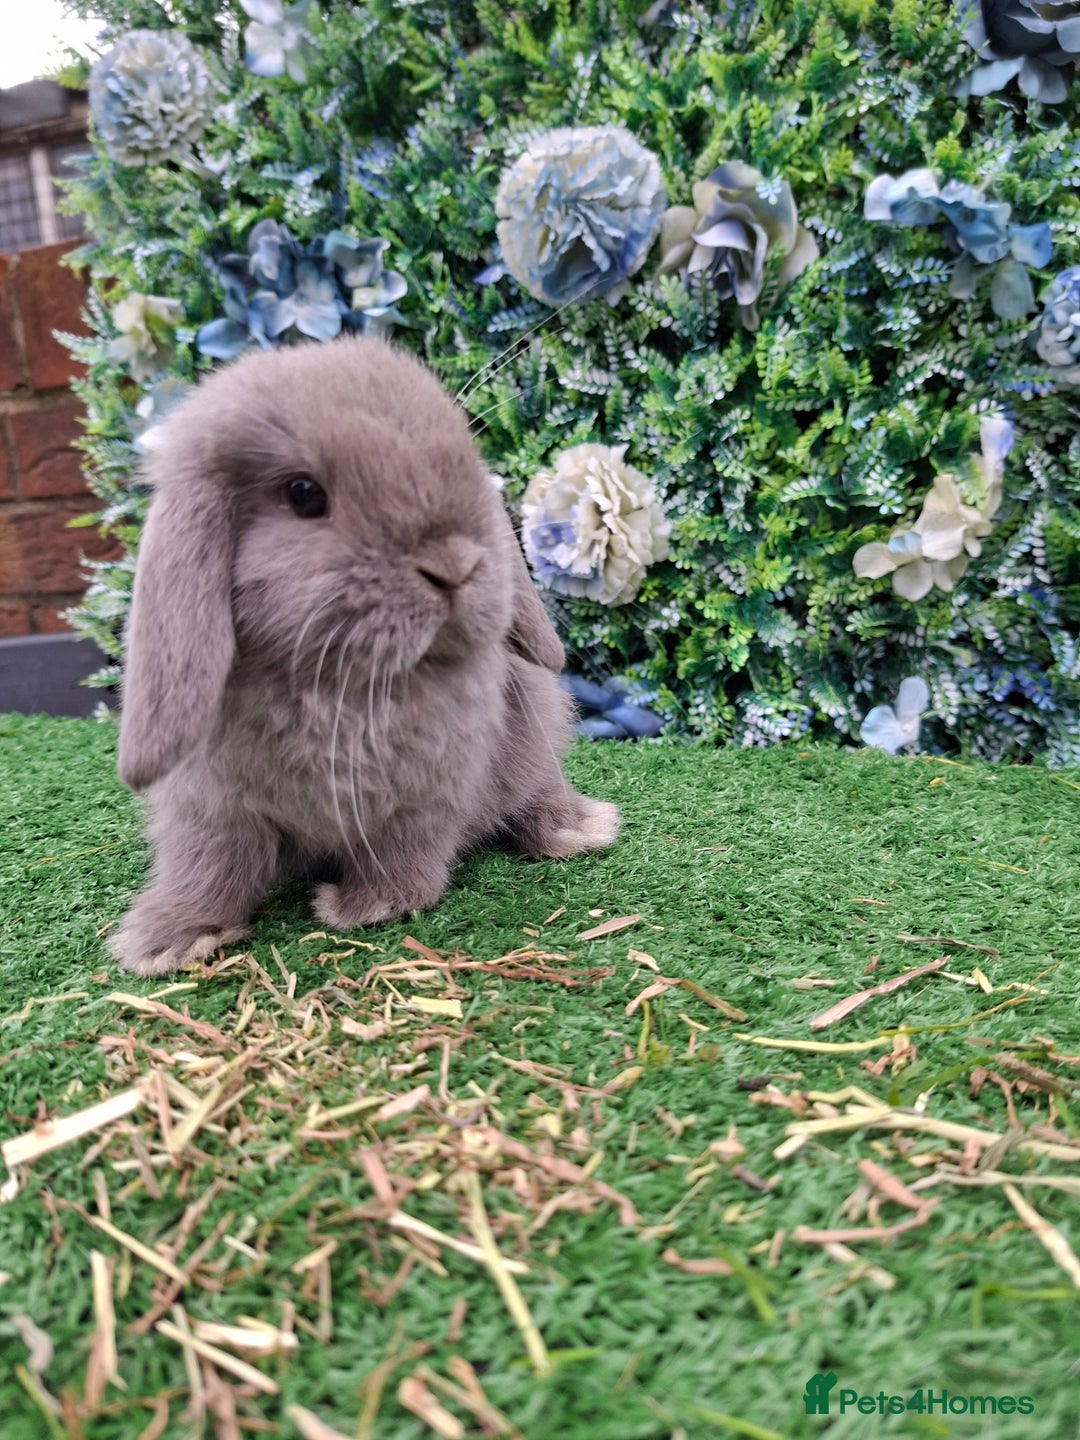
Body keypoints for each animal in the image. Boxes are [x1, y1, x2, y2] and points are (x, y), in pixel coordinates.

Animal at [109, 335, 620, 977]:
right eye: (303, 494)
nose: (455, 566)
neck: (334, 682)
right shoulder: (212, 808)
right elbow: (209, 866)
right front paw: (165, 941)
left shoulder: (421, 795)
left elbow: (403, 850)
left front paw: (365, 905)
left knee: (535, 790)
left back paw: (577, 829)